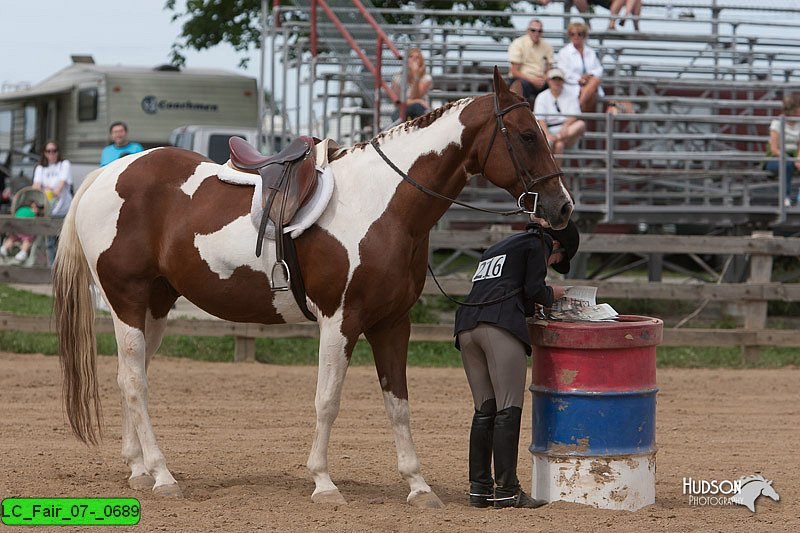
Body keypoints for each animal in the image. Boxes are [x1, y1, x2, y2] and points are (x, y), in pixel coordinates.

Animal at [53, 68, 572, 504]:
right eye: (527, 135)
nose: (563, 206)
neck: (384, 204)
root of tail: (108, 173)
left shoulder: (392, 324)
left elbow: (399, 404)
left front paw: (418, 486)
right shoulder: (340, 321)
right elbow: (328, 400)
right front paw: (323, 483)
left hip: (156, 305)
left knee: (130, 376)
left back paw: (138, 469)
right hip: (126, 299)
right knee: (134, 382)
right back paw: (162, 475)